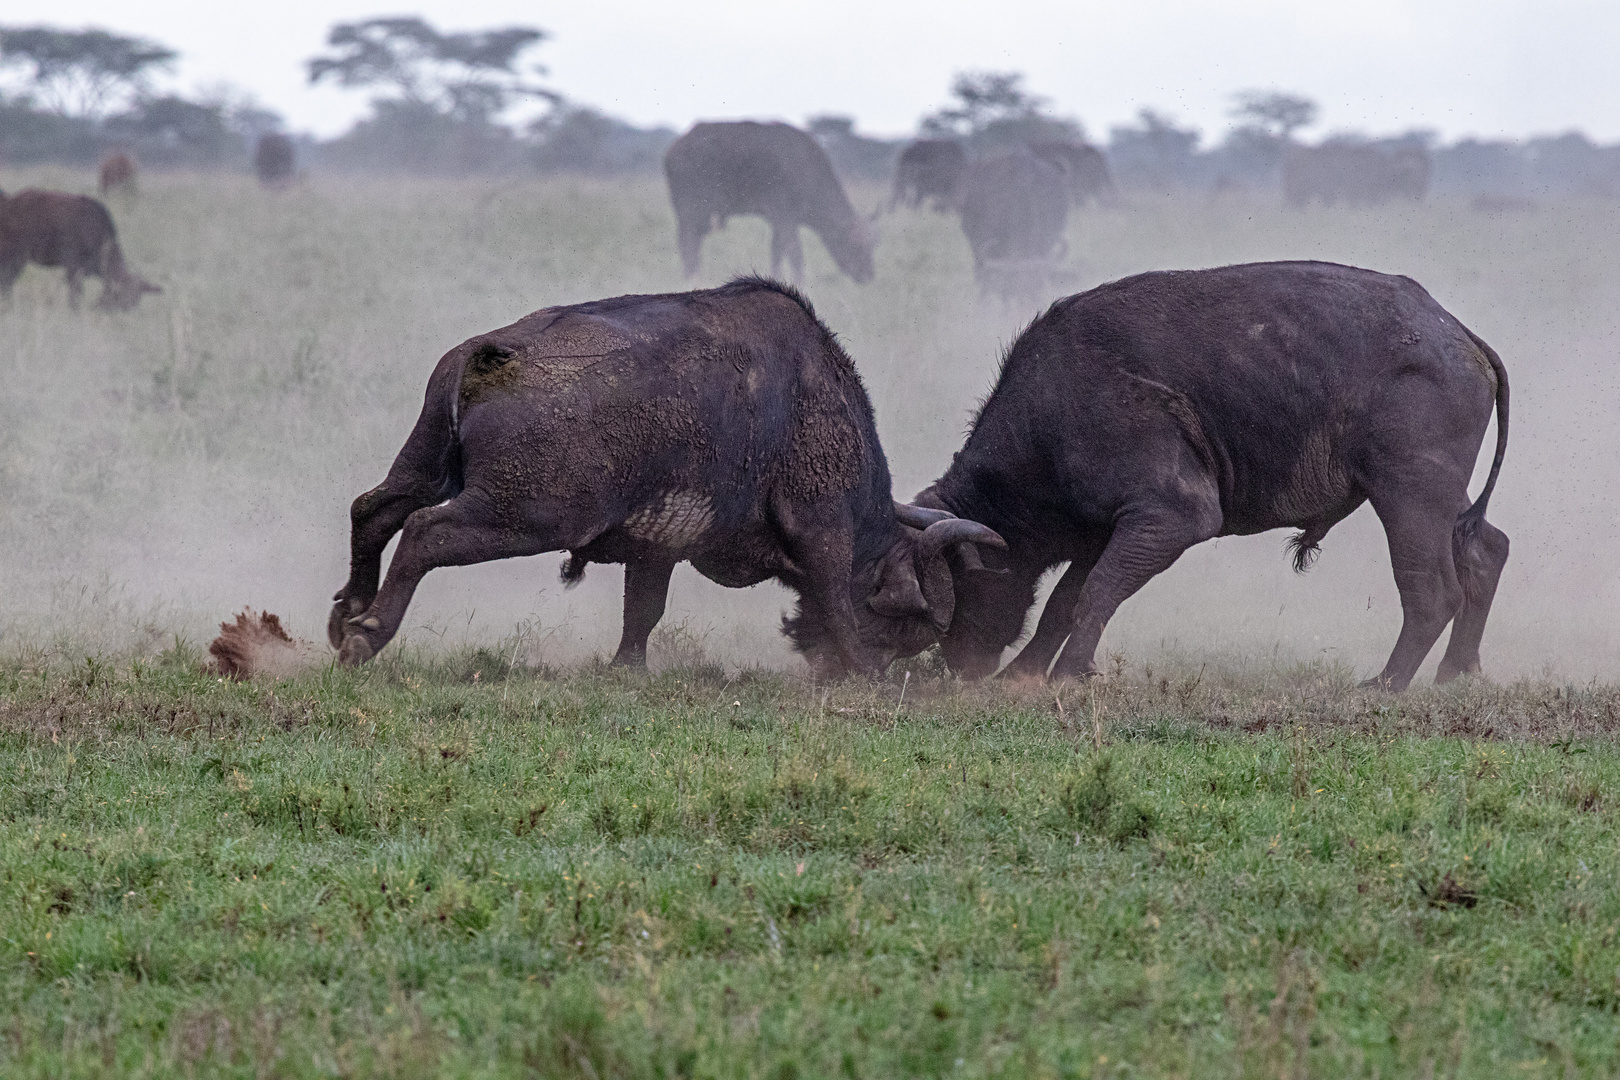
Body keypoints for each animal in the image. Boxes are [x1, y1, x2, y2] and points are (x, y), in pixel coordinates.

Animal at [0, 187, 161, 307]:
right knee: (7, 282)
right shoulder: (72, 267)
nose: (107, 310)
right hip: (16, 257)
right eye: (119, 296)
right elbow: (75, 296)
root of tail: (7, 203)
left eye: (134, 303)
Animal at [328, 276, 997, 676]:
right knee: (424, 532)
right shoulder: (823, 532)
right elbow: (835, 599)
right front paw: (860, 668)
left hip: (427, 469)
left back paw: (347, 614)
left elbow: (643, 611)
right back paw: (368, 635)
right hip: (521, 516)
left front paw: (628, 669)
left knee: (374, 509)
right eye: (901, 627)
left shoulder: (656, 549)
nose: (827, 666)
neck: (817, 404)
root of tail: (491, 353)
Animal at [907, 259, 1509, 693]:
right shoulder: (1111, 528)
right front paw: (1024, 675)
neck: (1057, 402)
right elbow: (1064, 604)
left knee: (1432, 590)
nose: (961, 666)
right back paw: (1455, 672)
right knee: (1486, 550)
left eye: (952, 584)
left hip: (1409, 494)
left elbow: (1095, 591)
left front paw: (1068, 674)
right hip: (1440, 499)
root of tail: (1458, 335)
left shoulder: (1171, 517)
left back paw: (1385, 684)